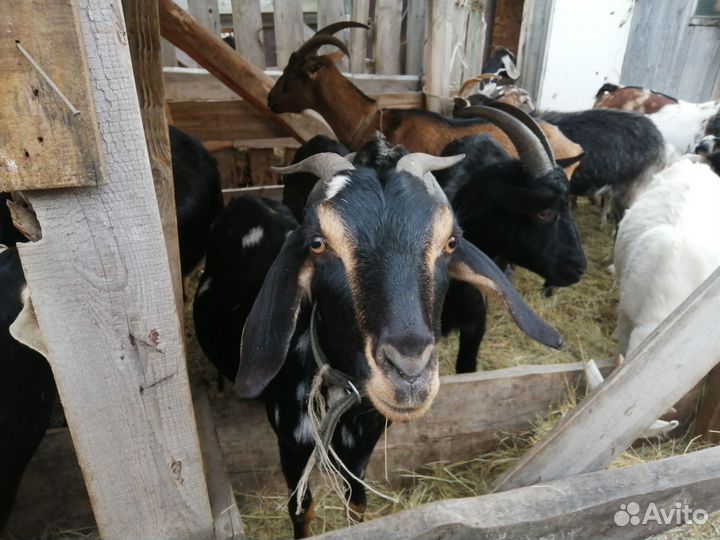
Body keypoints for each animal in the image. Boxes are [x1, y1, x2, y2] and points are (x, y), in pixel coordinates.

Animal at [194, 149, 563, 537]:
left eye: (450, 242)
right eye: (317, 243)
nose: (410, 371)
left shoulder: (362, 449)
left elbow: (356, 502)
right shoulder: (291, 444)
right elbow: (301, 509)